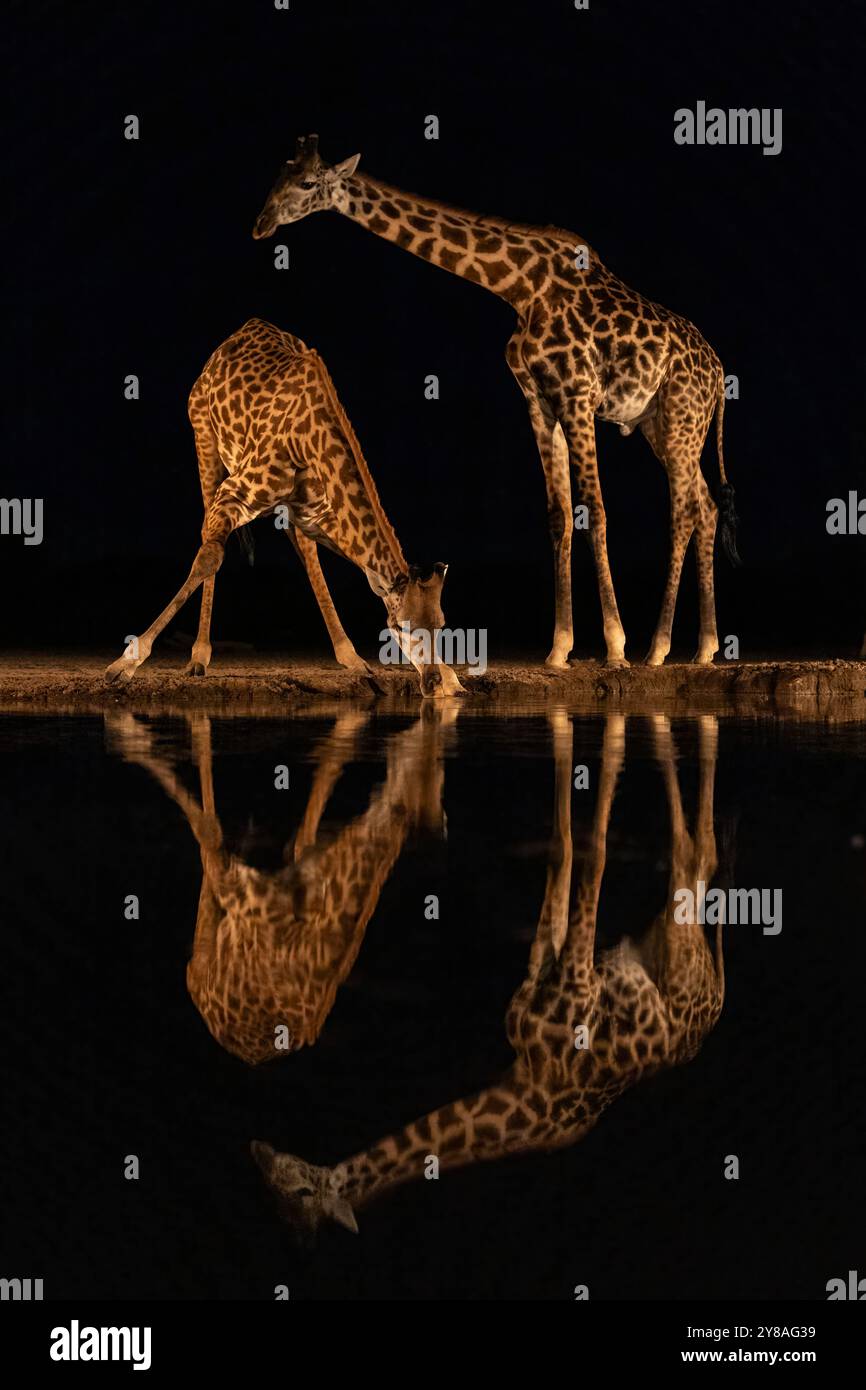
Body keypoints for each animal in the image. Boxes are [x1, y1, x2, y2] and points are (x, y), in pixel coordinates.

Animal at [105, 317, 463, 697]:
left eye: (442, 624)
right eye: (400, 627)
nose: (431, 682)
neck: (310, 438)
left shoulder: (315, 515)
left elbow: (320, 561)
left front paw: (451, 679)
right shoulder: (235, 492)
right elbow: (209, 558)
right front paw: (123, 665)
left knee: (302, 554)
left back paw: (350, 657)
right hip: (205, 441)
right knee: (208, 540)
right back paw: (198, 657)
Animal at [106, 705, 455, 1069]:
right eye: (433, 776)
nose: (433, 731)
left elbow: (327, 770)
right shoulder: (238, 887)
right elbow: (211, 830)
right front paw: (130, 730)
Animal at [252, 711, 725, 1239]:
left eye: (301, 1193)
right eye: (273, 1200)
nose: (261, 1155)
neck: (528, 1082)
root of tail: (716, 996)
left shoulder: (579, 980)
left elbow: (594, 846)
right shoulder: (545, 958)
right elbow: (562, 849)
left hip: (679, 946)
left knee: (693, 854)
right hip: (665, 938)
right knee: (696, 856)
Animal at [254, 135, 741, 668]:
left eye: (305, 182)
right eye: (278, 174)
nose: (261, 224)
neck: (519, 287)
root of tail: (719, 374)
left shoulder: (578, 395)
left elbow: (595, 509)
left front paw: (615, 646)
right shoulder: (539, 401)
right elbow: (559, 516)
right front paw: (559, 648)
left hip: (680, 419)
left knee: (685, 509)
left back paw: (657, 648)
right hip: (663, 426)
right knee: (705, 504)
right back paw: (706, 647)